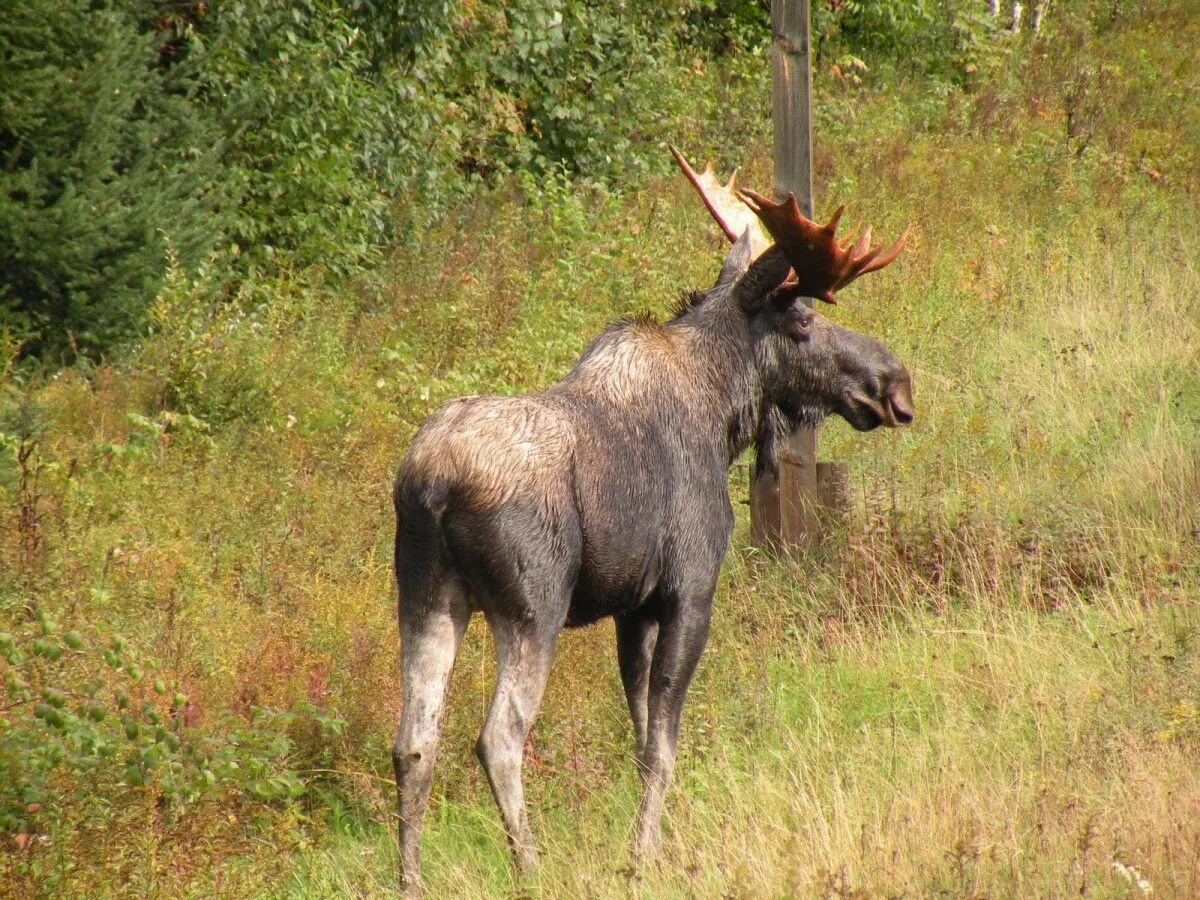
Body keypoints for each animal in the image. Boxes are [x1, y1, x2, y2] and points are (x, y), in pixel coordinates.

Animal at [391, 148, 907, 897]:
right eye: (805, 321)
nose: (894, 381)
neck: (723, 416)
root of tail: (431, 485)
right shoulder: (688, 589)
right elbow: (662, 743)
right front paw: (643, 856)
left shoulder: (630, 608)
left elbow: (638, 736)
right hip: (531, 606)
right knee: (498, 738)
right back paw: (530, 867)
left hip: (425, 599)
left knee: (413, 743)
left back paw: (410, 880)